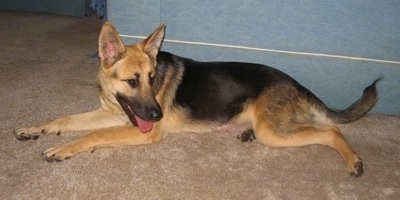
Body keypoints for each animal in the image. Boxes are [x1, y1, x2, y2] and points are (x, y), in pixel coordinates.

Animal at [14, 22, 380, 177]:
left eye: (152, 78)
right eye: (133, 81)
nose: (158, 115)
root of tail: (295, 82)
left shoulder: (139, 130)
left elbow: (92, 134)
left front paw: (62, 149)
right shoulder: (117, 114)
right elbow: (65, 120)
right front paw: (35, 129)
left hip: (273, 133)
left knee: (331, 131)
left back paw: (353, 160)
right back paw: (244, 132)